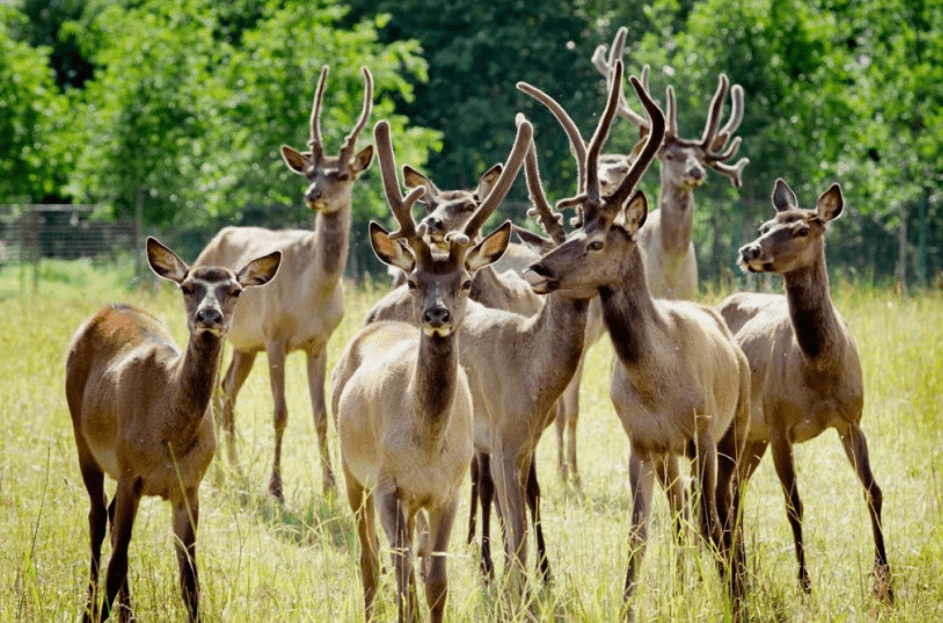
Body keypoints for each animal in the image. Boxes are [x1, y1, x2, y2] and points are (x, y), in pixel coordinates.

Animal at [66, 236, 280, 620]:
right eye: (187, 287)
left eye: (236, 290)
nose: (209, 316)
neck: (170, 437)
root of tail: (104, 311)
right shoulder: (131, 472)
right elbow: (116, 563)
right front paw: (97, 614)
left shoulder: (189, 485)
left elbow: (190, 581)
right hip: (84, 440)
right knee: (96, 518)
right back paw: (90, 607)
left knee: (109, 517)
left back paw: (127, 613)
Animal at [194, 64, 374, 502]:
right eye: (310, 171)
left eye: (342, 173)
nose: (313, 194)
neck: (312, 292)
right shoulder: (275, 336)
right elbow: (280, 412)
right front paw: (276, 488)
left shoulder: (320, 342)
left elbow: (321, 413)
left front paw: (328, 486)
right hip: (226, 333)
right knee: (216, 393)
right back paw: (221, 474)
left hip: (245, 346)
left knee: (227, 391)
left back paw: (235, 469)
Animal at [328, 118, 528, 623]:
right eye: (415, 281)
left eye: (466, 282)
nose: (437, 314)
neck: (425, 446)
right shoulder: (388, 485)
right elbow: (400, 575)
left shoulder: (447, 490)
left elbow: (435, 580)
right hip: (351, 468)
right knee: (368, 557)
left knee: (410, 560)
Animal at [524, 59, 752, 620]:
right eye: (570, 232)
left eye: (595, 242)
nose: (538, 269)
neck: (658, 380)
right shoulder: (642, 442)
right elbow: (637, 535)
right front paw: (631, 604)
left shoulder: (702, 432)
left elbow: (713, 525)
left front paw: (731, 599)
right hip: (673, 455)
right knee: (683, 513)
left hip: (736, 426)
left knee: (727, 515)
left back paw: (737, 580)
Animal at [720, 178, 896, 604]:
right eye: (765, 225)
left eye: (802, 229)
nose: (750, 250)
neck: (818, 370)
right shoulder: (780, 424)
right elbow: (794, 505)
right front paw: (804, 586)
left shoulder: (852, 419)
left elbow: (873, 491)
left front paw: (885, 583)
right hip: (738, 423)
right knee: (729, 491)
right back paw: (737, 570)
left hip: (754, 436)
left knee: (736, 489)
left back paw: (742, 568)